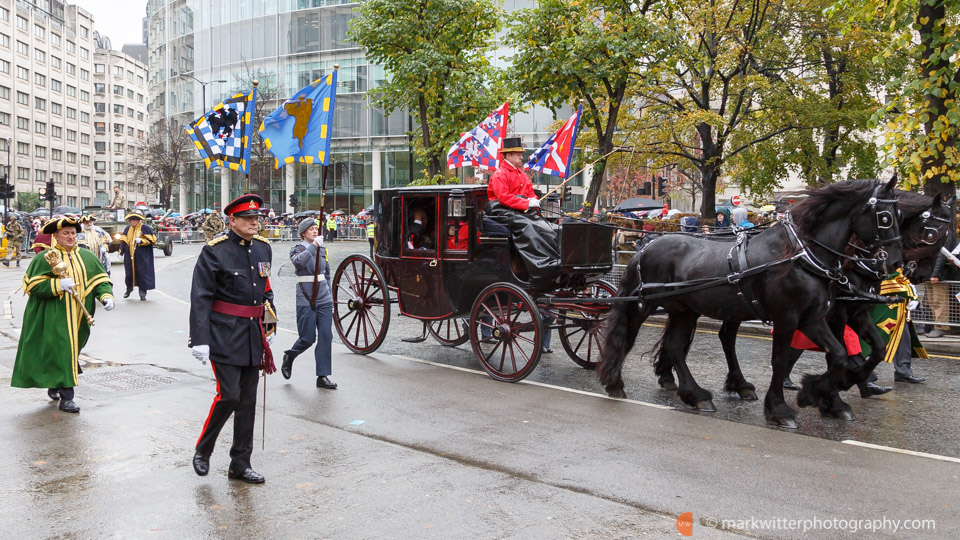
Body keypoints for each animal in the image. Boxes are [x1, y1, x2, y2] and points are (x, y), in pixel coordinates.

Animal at [596, 179, 904, 428]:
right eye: (885, 217)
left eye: (899, 214)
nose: (894, 263)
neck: (799, 255)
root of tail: (646, 247)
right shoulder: (788, 317)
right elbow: (780, 360)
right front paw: (781, 409)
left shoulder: (813, 318)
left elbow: (840, 354)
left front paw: (817, 393)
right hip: (645, 304)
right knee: (630, 337)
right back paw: (618, 382)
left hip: (684, 310)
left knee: (675, 347)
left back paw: (695, 394)